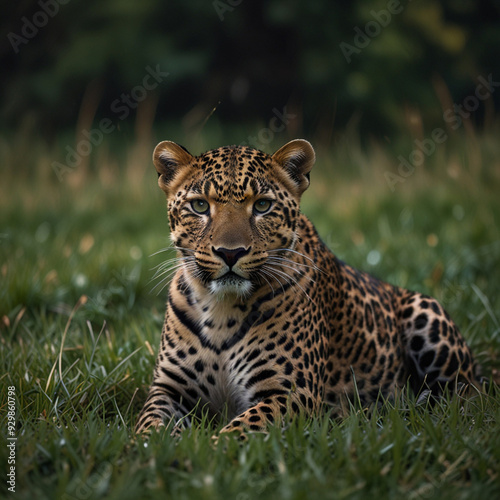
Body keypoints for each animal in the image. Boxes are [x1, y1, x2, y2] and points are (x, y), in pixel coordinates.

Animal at [135, 138, 478, 438]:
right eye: (199, 206)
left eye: (262, 205)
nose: (230, 253)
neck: (222, 306)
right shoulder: (169, 388)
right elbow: (148, 425)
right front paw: (149, 453)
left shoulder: (289, 392)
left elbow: (237, 431)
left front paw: (212, 451)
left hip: (426, 314)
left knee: (463, 399)